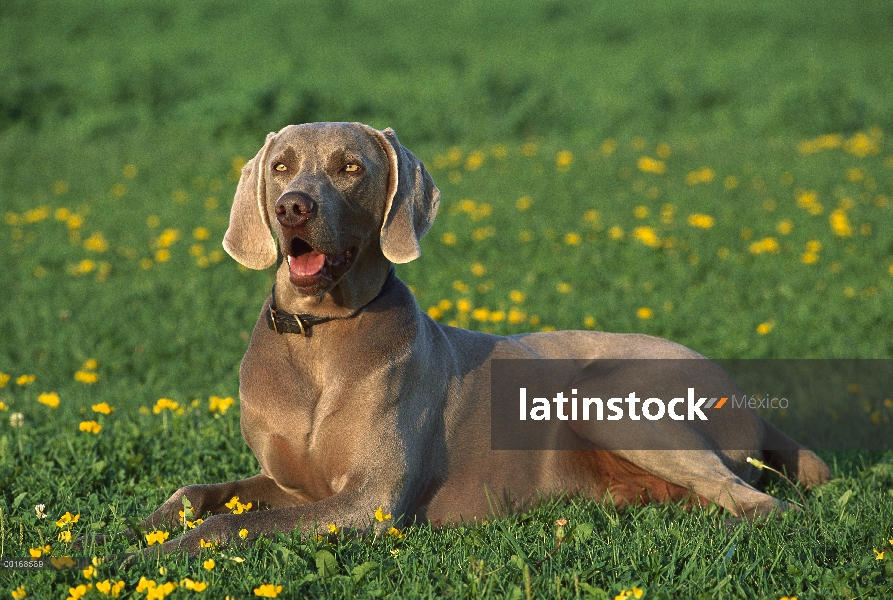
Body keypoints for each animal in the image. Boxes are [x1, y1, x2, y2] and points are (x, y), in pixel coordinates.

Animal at [134, 120, 828, 552]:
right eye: (280, 168)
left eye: (350, 167)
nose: (293, 206)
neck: (319, 336)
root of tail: (746, 397)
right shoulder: (290, 483)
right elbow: (199, 495)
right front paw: (129, 535)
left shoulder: (369, 501)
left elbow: (229, 528)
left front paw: (157, 554)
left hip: (607, 396)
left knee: (762, 504)